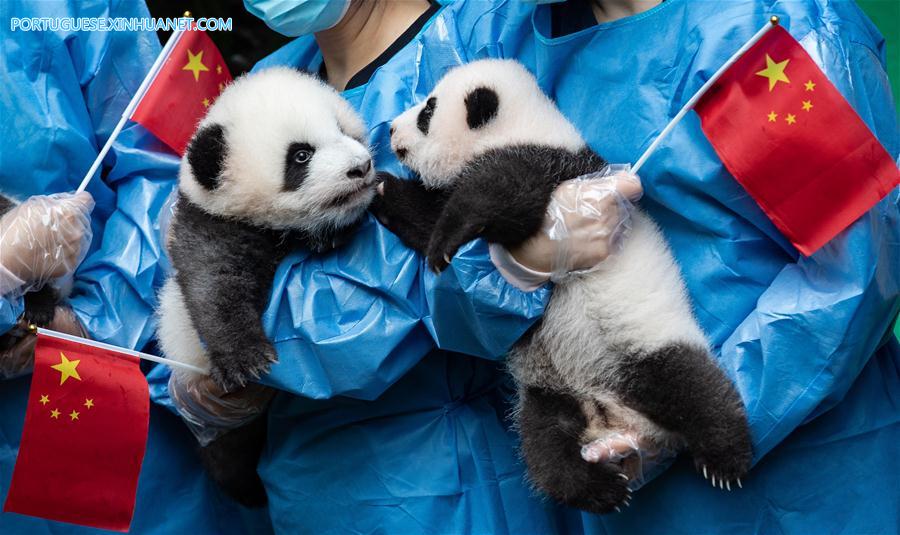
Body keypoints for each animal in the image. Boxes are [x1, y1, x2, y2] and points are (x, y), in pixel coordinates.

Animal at [156, 67, 376, 506]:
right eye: (301, 156)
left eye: (344, 131)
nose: (361, 168)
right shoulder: (211, 227)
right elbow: (214, 284)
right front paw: (247, 358)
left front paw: (329, 235)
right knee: (230, 454)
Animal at [372, 59, 752, 514]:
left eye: (427, 112)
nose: (391, 130)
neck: (525, 125)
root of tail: (622, 421)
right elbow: (430, 214)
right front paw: (379, 188)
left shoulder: (550, 165)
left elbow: (498, 192)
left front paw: (444, 240)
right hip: (548, 393)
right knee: (547, 451)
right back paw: (601, 489)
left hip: (645, 344)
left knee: (693, 387)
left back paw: (726, 458)